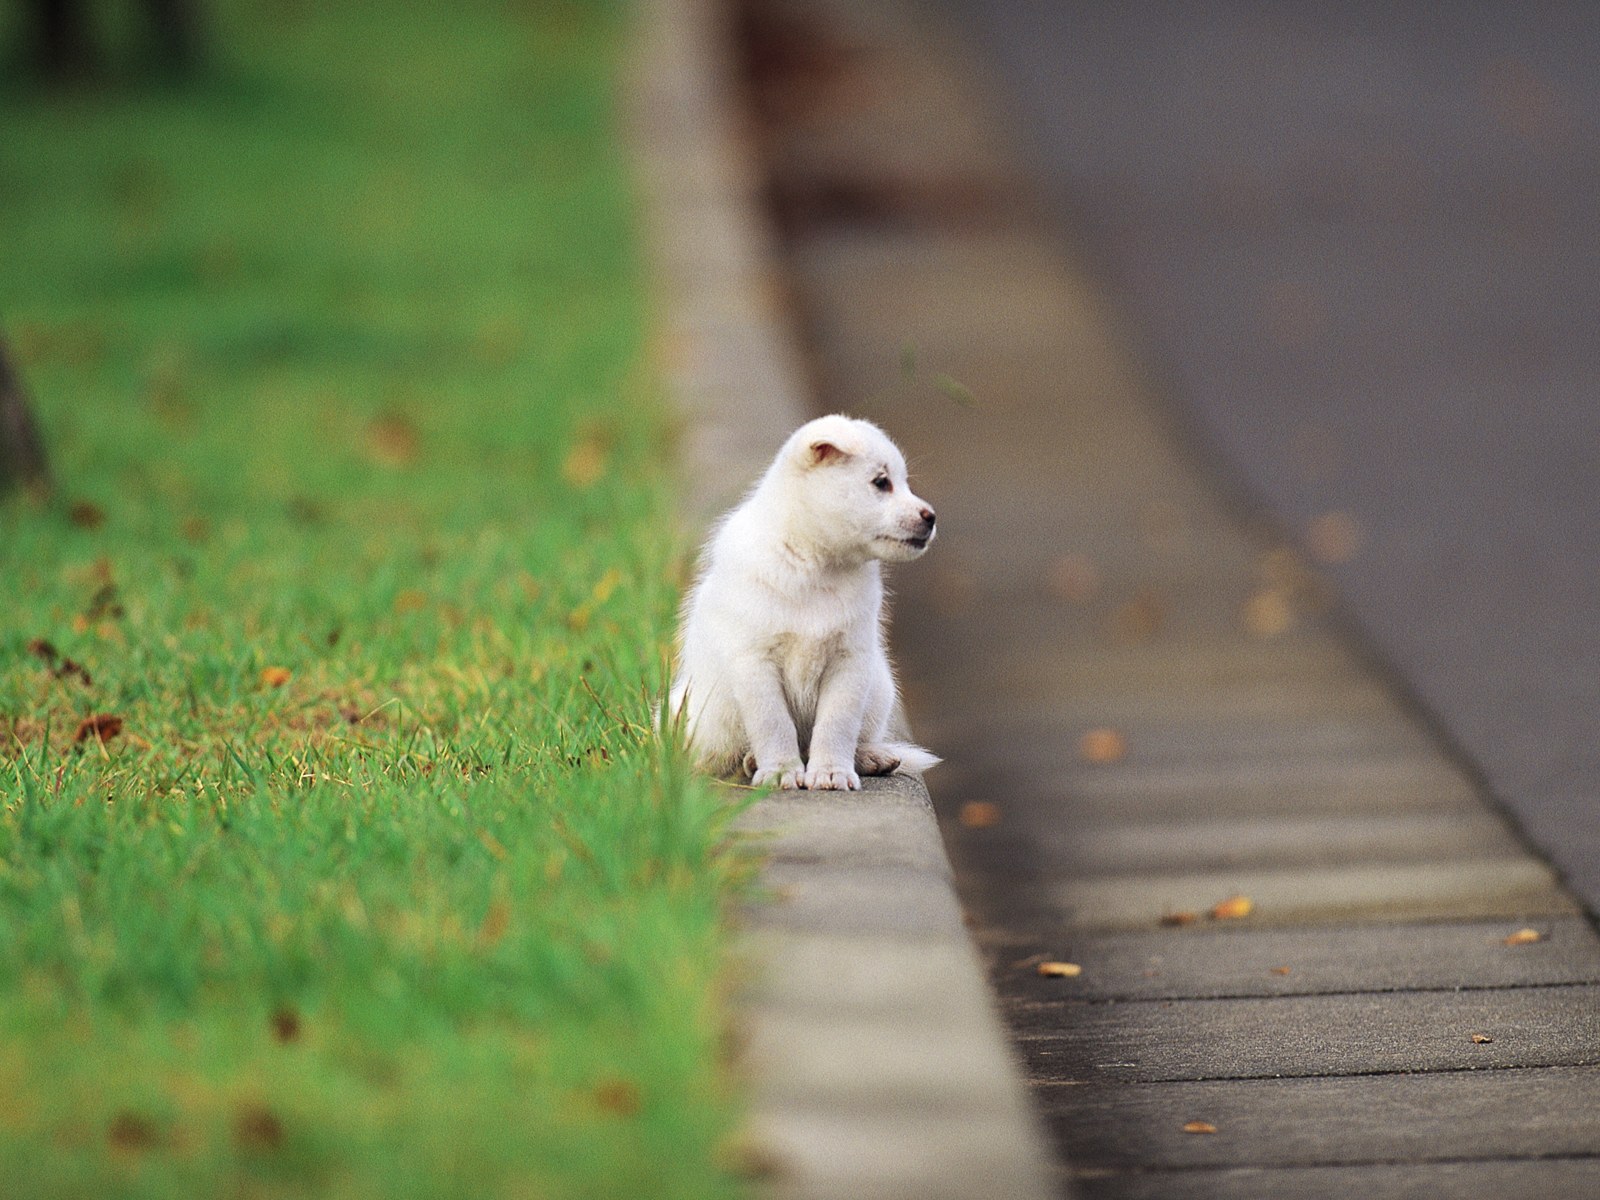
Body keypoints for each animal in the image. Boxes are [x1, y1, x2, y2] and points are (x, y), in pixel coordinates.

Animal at [672, 412, 940, 790]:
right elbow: (774, 724)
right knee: (725, 755)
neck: (816, 566)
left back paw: (871, 757)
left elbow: (836, 725)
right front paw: (780, 771)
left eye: (903, 482)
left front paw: (831, 772)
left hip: (879, 687)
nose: (931, 517)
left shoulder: (849, 662)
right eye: (881, 482)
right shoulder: (756, 663)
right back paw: (748, 761)